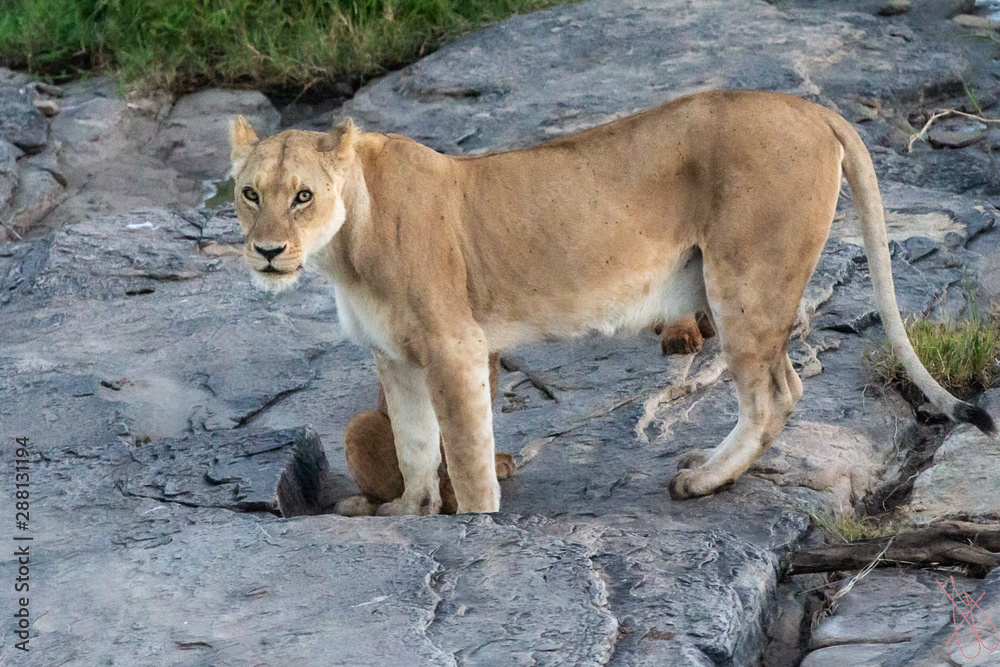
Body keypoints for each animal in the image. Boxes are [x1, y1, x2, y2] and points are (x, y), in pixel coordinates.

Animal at [229, 89, 995, 515]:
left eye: (303, 195)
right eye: (249, 193)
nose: (267, 251)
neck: (345, 250)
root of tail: (811, 107)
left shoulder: (456, 348)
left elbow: (468, 457)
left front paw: (473, 525)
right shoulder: (395, 358)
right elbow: (415, 447)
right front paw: (411, 515)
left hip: (746, 281)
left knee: (775, 393)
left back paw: (699, 482)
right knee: (784, 386)